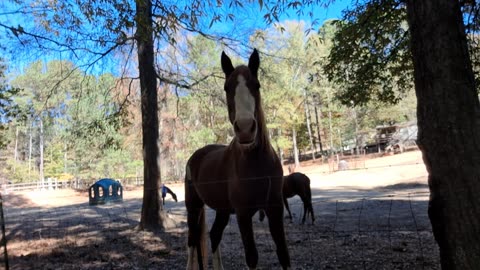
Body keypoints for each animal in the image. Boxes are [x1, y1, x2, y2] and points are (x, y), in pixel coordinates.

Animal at [185, 49, 290, 268]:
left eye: (257, 85)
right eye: (227, 87)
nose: (245, 128)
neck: (256, 163)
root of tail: (195, 156)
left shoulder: (275, 209)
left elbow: (283, 254)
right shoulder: (243, 214)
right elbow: (252, 257)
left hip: (222, 210)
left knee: (214, 235)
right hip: (193, 207)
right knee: (192, 240)